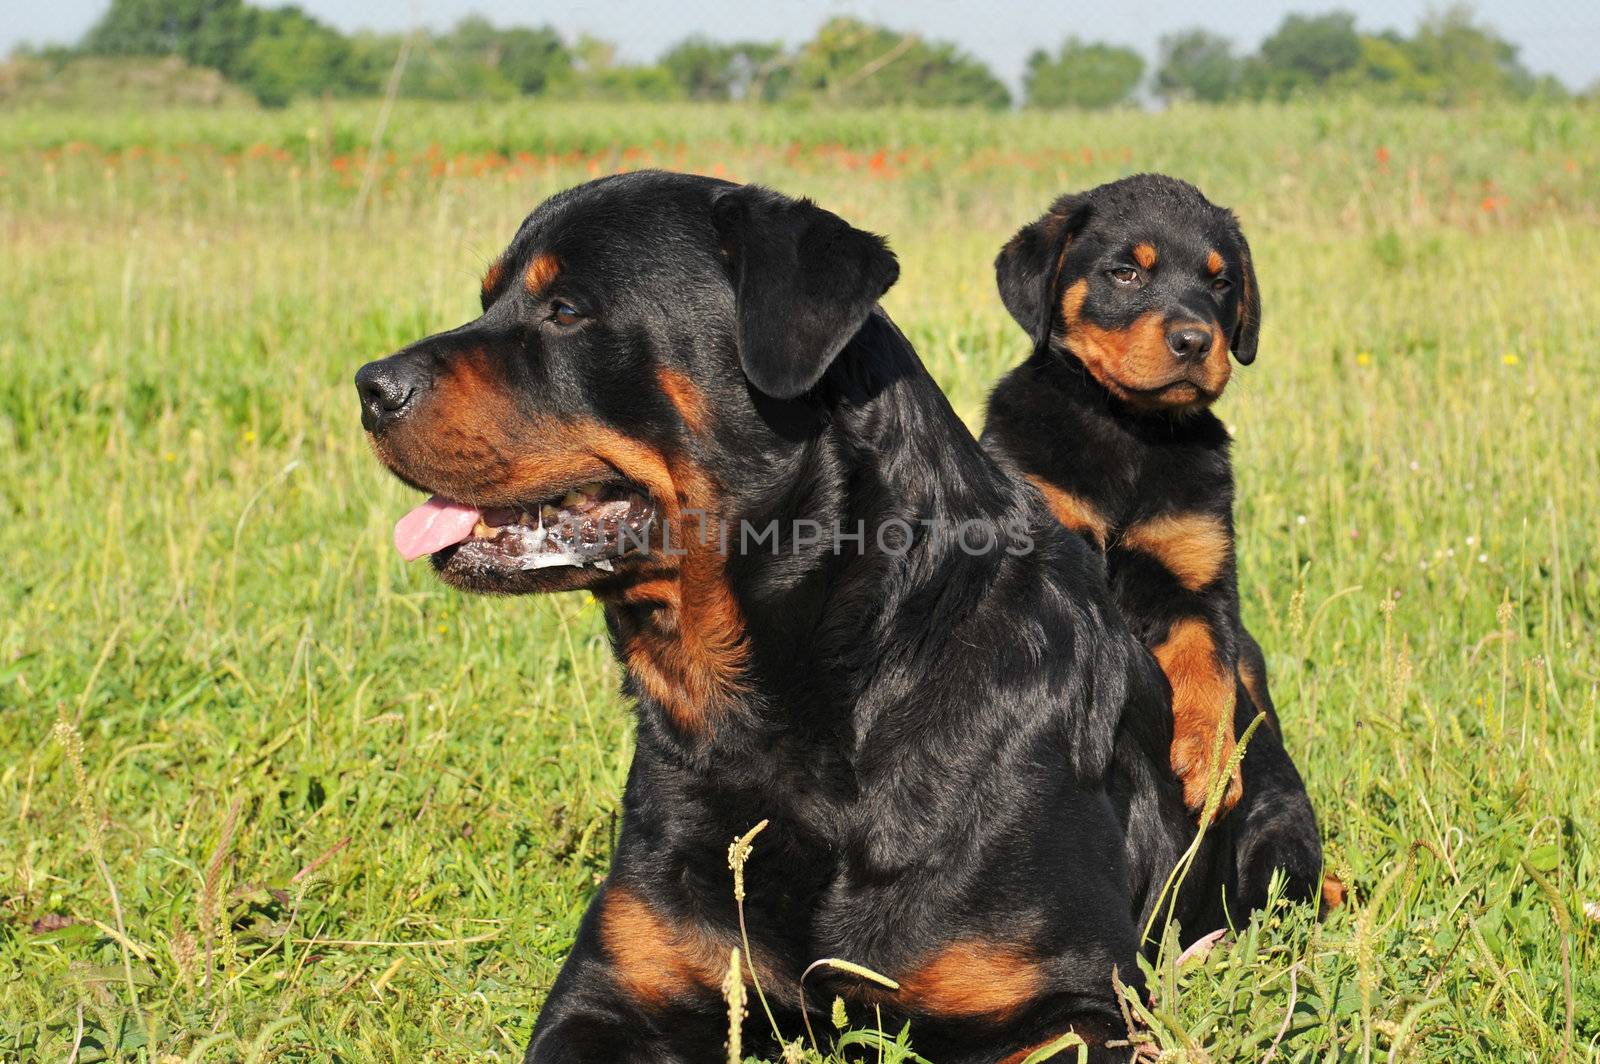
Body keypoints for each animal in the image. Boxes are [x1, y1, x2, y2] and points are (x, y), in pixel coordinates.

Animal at [979, 176, 1331, 915]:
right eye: (1126, 273)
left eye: (1220, 282)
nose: (1196, 340)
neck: (1131, 432)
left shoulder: (1199, 581)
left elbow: (1206, 666)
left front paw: (1211, 763)